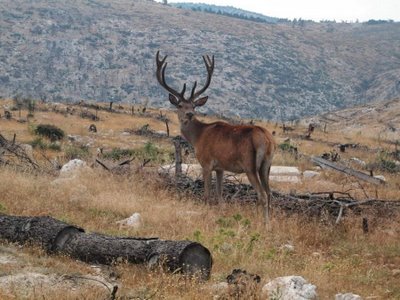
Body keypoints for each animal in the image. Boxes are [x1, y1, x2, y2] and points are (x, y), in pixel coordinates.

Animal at [155, 50, 276, 223]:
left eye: (193, 105)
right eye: (180, 105)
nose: (189, 114)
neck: (197, 137)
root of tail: (267, 140)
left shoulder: (206, 163)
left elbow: (207, 195)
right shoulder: (220, 167)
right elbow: (220, 195)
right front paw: (221, 214)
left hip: (250, 165)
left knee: (262, 195)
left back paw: (263, 224)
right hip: (267, 165)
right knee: (270, 193)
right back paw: (270, 222)